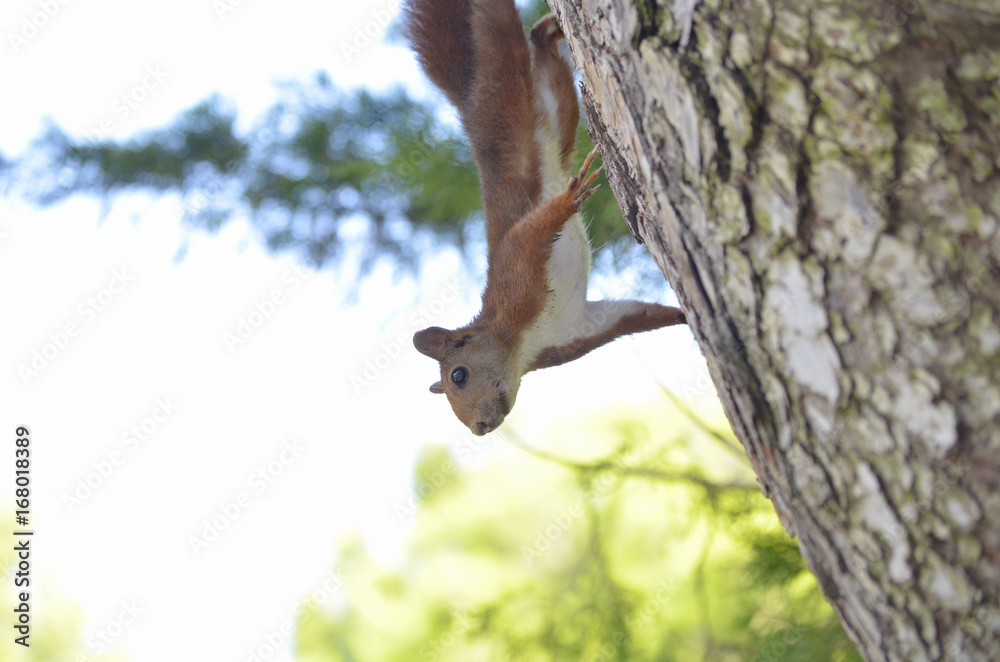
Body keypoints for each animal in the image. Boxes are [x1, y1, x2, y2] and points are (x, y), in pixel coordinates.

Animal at [402, 0, 684, 436]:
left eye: (458, 375)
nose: (479, 429)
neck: (523, 344)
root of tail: (465, 101)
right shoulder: (580, 329)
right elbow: (635, 316)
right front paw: (684, 317)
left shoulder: (516, 277)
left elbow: (532, 231)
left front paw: (569, 199)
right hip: (557, 107)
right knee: (543, 56)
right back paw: (550, 30)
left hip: (504, 76)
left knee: (503, 34)